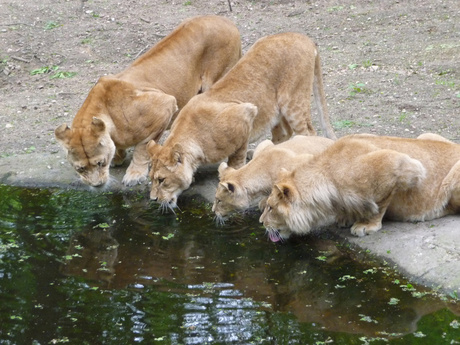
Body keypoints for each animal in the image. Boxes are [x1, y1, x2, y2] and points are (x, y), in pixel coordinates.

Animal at [54, 15, 241, 187]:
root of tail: (227, 21)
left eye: (100, 162)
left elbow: (142, 148)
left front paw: (134, 175)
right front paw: (118, 157)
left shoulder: (165, 105)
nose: (97, 185)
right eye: (80, 168)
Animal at [147, 33, 338, 207]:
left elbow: (236, 162)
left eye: (162, 180)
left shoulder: (245, 114)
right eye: (151, 179)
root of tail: (303, 37)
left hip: (293, 102)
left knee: (308, 132)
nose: (153, 199)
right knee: (284, 134)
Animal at [260, 133, 460, 241]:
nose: (261, 222)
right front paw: (346, 216)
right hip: (425, 135)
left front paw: (366, 224)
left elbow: (378, 204)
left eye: (270, 208)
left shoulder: (402, 164)